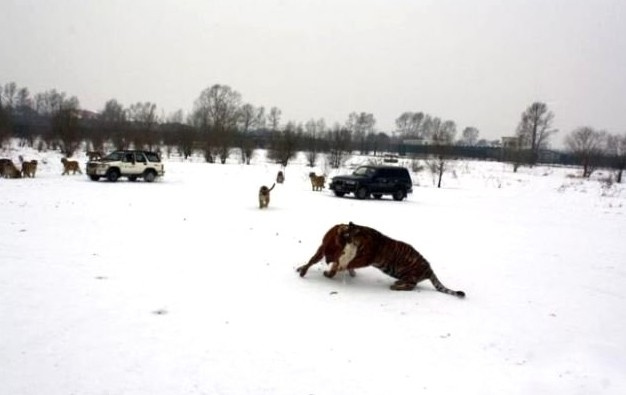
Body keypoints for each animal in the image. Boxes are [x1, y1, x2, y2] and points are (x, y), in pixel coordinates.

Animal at [324, 221, 460, 298]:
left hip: (410, 274)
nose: (342, 239)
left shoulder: (365, 258)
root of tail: (430, 269)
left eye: (346, 233)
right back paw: (397, 283)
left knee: (411, 286)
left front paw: (340, 267)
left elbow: (350, 263)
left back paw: (395, 287)